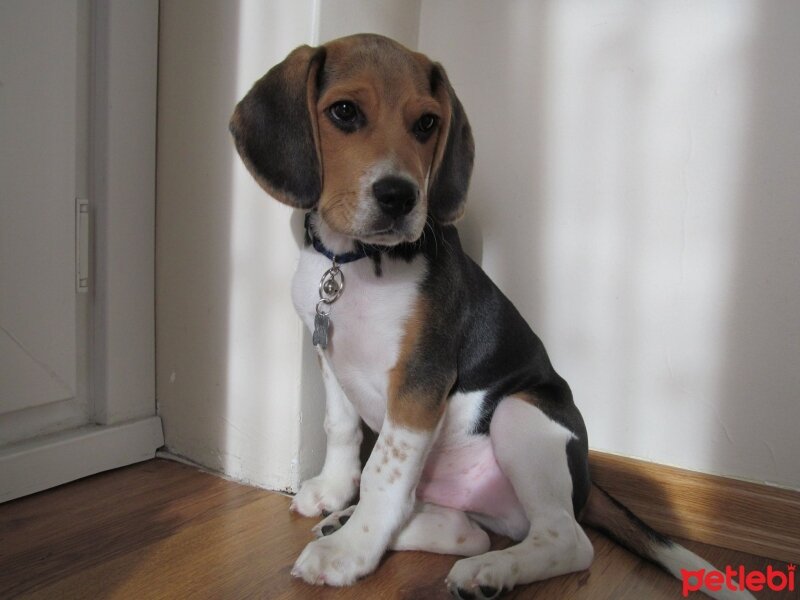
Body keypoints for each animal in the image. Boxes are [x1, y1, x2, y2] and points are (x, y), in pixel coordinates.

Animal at [230, 34, 752, 600]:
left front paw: (350, 553)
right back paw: (360, 523)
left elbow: (382, 474)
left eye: (427, 123)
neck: (352, 262)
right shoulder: (328, 353)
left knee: (566, 540)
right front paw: (331, 493)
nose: (401, 197)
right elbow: (342, 429)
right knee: (468, 532)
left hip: (519, 415)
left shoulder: (420, 379)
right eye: (344, 112)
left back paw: (487, 570)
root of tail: (588, 479)